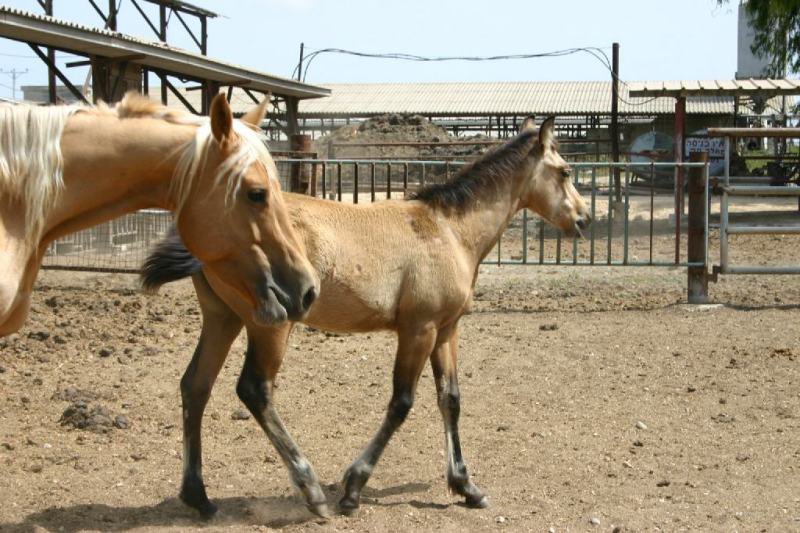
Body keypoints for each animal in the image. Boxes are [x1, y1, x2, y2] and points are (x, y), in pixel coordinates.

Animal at [142, 115, 592, 516]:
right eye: (566, 171)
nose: (584, 218)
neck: (448, 230)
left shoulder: (447, 329)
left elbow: (450, 399)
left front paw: (467, 487)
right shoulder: (418, 329)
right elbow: (402, 403)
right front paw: (353, 487)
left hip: (222, 319)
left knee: (195, 386)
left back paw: (198, 497)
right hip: (271, 324)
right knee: (254, 389)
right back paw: (310, 490)